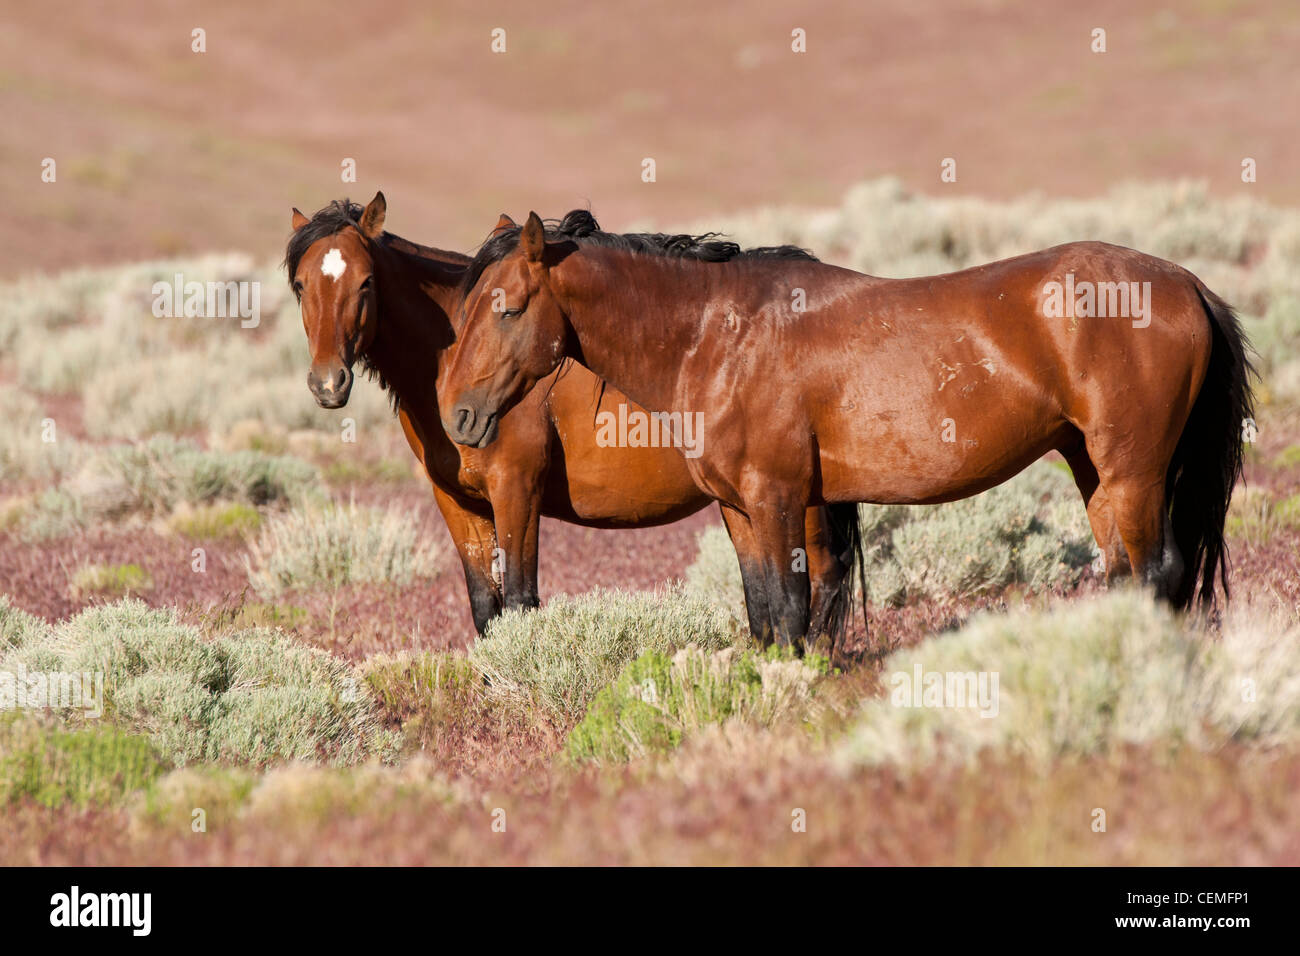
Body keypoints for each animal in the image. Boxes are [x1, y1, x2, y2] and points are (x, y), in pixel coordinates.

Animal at [284, 193, 855, 649]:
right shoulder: (458, 504)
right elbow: (486, 609)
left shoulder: (516, 492)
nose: (328, 383)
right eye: (300, 285)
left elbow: (520, 602)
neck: (452, 361)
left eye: (365, 282)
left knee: (823, 582)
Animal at [440, 209, 1255, 650]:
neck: (718, 336)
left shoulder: (776, 499)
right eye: (468, 303)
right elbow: (765, 615)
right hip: (1093, 470)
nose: (458, 415)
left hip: (1135, 473)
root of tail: (1186, 284)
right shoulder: (741, 509)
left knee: (1155, 574)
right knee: (1125, 574)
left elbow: (791, 611)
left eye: (507, 306)